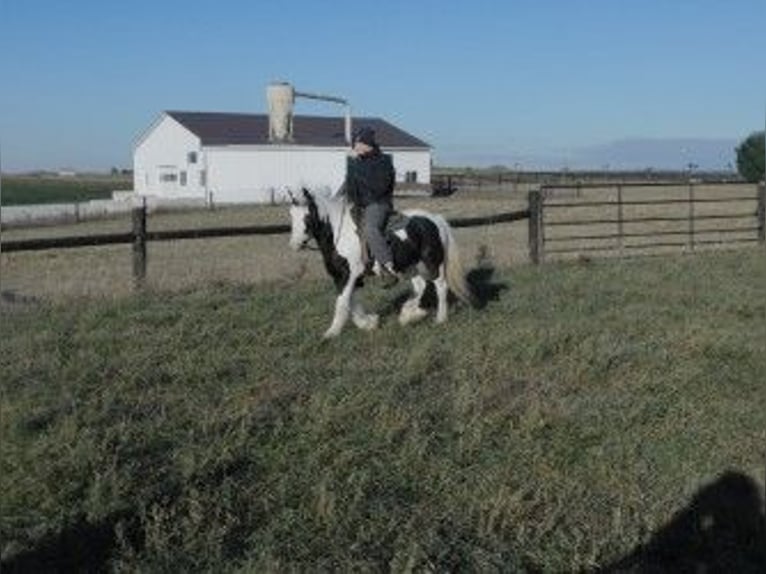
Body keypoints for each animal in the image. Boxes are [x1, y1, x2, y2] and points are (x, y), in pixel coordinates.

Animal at [292, 189, 476, 340]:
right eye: (291, 215)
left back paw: (440, 319)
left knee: (441, 286)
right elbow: (352, 302)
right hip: (411, 265)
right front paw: (367, 323)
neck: (340, 234)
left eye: (307, 216)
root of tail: (435, 219)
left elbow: (342, 303)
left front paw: (331, 332)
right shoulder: (347, 277)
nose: (296, 244)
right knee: (420, 286)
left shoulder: (347, 275)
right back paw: (409, 314)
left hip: (432, 263)